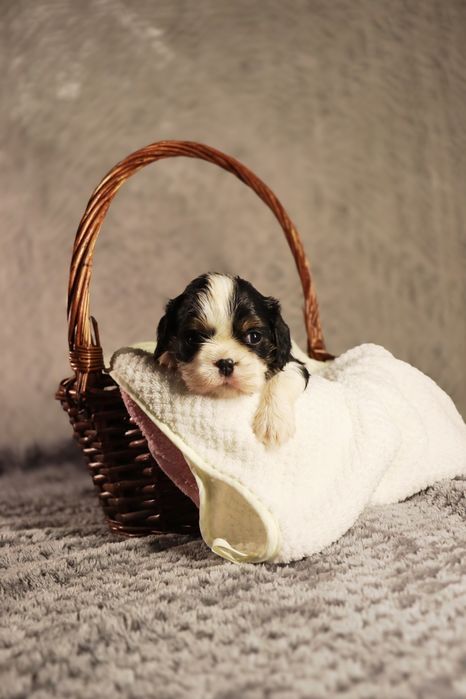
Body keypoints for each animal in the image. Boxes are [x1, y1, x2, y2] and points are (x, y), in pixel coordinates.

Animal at [154, 273, 309, 447]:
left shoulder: (293, 363)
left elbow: (283, 378)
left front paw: (273, 422)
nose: (225, 363)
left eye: (254, 336)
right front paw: (169, 357)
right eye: (193, 338)